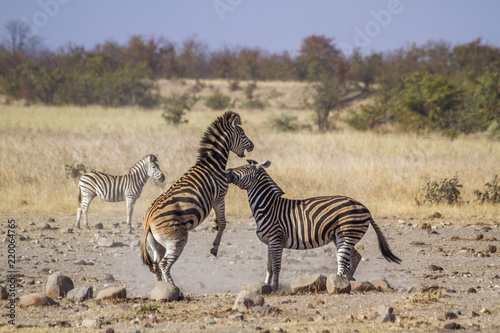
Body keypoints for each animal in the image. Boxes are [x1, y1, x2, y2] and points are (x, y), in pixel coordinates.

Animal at [141, 110, 254, 286]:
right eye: (242, 133)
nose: (252, 146)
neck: (213, 164)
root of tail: (148, 218)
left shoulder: (215, 199)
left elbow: (219, 220)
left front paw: (213, 223)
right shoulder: (220, 196)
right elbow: (223, 223)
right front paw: (214, 248)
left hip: (156, 245)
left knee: (155, 265)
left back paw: (162, 288)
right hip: (176, 240)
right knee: (164, 264)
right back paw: (174, 288)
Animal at [228, 159, 402, 290]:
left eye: (244, 168)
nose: (227, 171)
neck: (268, 206)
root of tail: (365, 207)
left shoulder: (276, 239)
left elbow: (276, 266)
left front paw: (275, 288)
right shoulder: (270, 242)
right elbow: (269, 266)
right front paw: (265, 285)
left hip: (347, 234)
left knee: (343, 261)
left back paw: (338, 284)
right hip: (341, 237)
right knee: (355, 257)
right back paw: (349, 280)